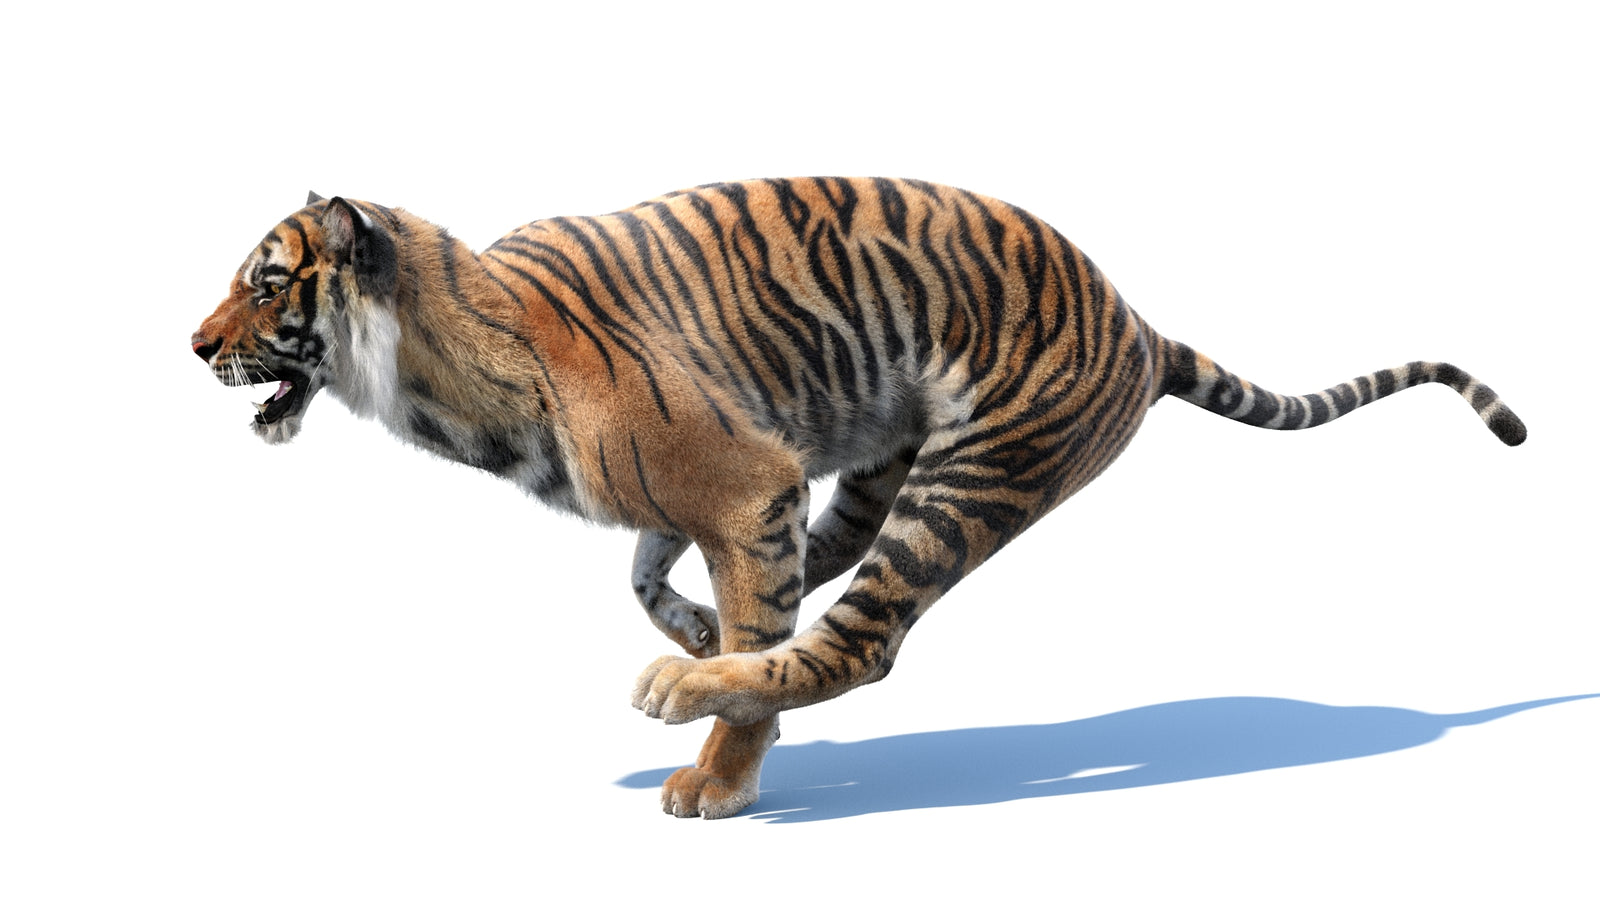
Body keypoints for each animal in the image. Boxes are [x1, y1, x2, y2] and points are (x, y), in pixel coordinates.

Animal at [192, 177, 1525, 819]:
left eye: (267, 284)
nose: (193, 345)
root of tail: (1138, 320)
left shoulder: (744, 485)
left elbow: (730, 604)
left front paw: (718, 775)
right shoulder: (738, 491)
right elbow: (643, 565)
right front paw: (692, 630)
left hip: (968, 480)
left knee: (858, 644)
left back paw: (687, 690)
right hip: (875, 472)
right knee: (821, 601)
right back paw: (706, 654)